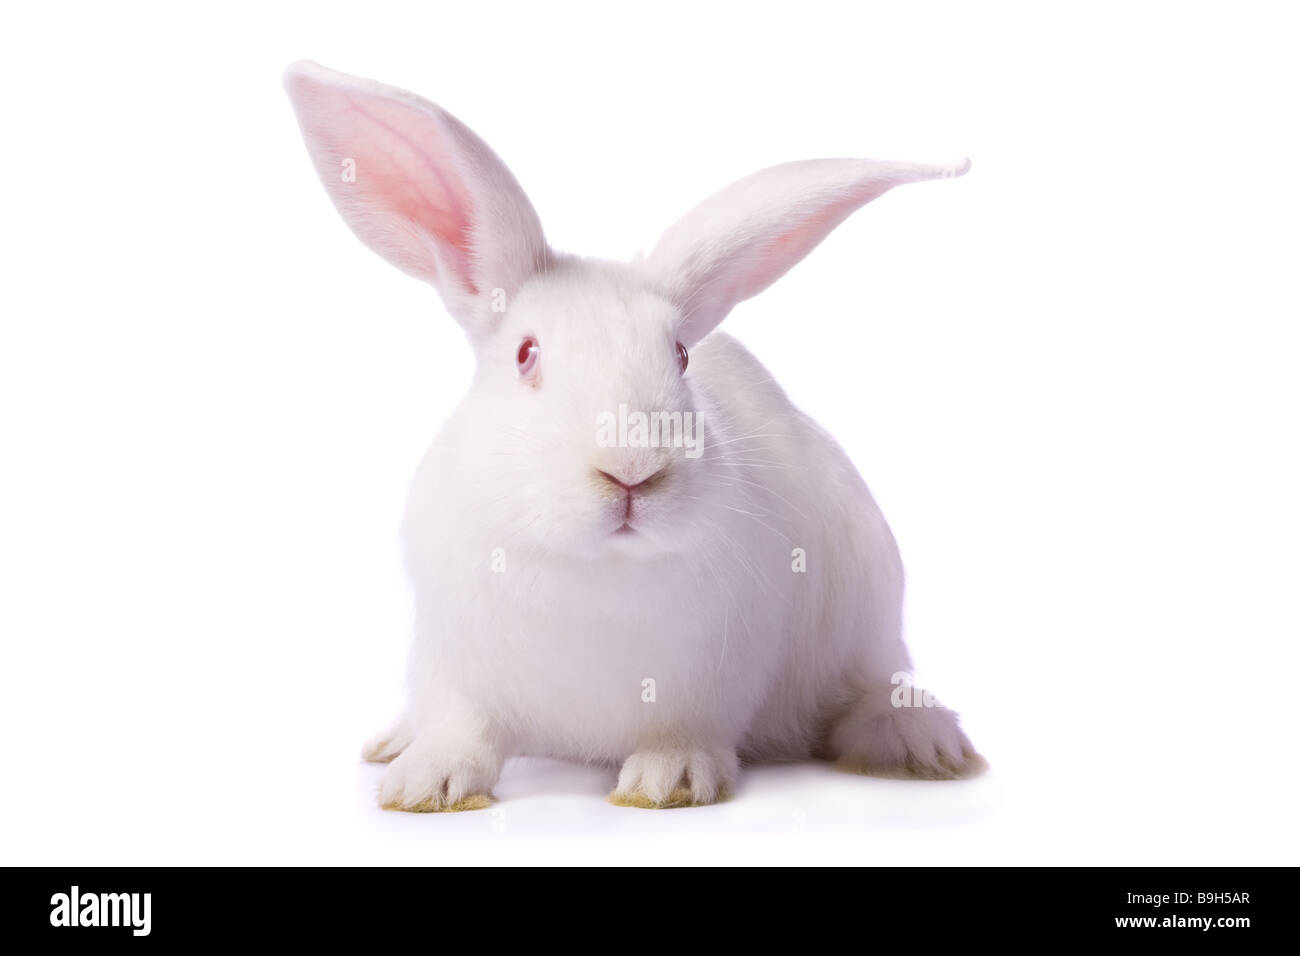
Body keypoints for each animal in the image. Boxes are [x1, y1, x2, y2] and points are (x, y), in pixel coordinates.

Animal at [283, 60, 986, 811]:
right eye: (526, 355)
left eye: (679, 355)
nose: (631, 471)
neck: (595, 571)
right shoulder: (454, 665)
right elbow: (461, 727)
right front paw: (426, 784)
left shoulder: (712, 681)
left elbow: (684, 730)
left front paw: (666, 781)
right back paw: (393, 741)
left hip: (868, 609)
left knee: (875, 686)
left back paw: (921, 747)